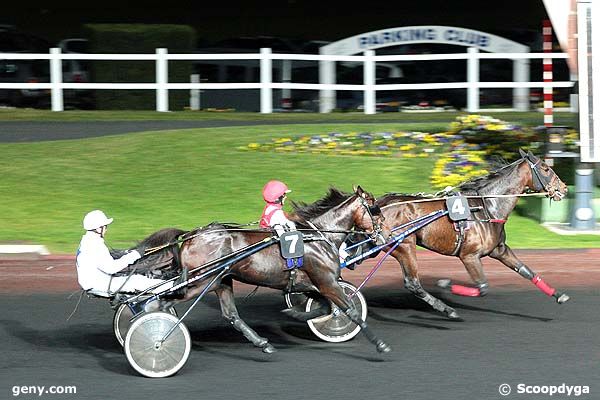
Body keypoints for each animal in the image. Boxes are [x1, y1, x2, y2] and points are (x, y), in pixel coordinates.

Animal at [157, 187, 390, 354]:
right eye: (376, 210)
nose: (385, 235)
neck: (318, 236)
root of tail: (191, 235)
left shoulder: (312, 285)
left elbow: (324, 307)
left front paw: (295, 313)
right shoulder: (327, 283)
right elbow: (351, 310)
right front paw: (380, 344)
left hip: (221, 281)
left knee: (231, 315)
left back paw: (263, 343)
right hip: (202, 282)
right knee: (164, 301)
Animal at [378, 148, 568, 320]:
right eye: (545, 168)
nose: (564, 188)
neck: (487, 208)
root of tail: (378, 204)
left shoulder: (499, 250)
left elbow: (526, 271)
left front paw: (559, 295)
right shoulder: (469, 256)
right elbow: (483, 287)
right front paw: (445, 284)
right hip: (404, 246)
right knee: (413, 283)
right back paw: (448, 310)